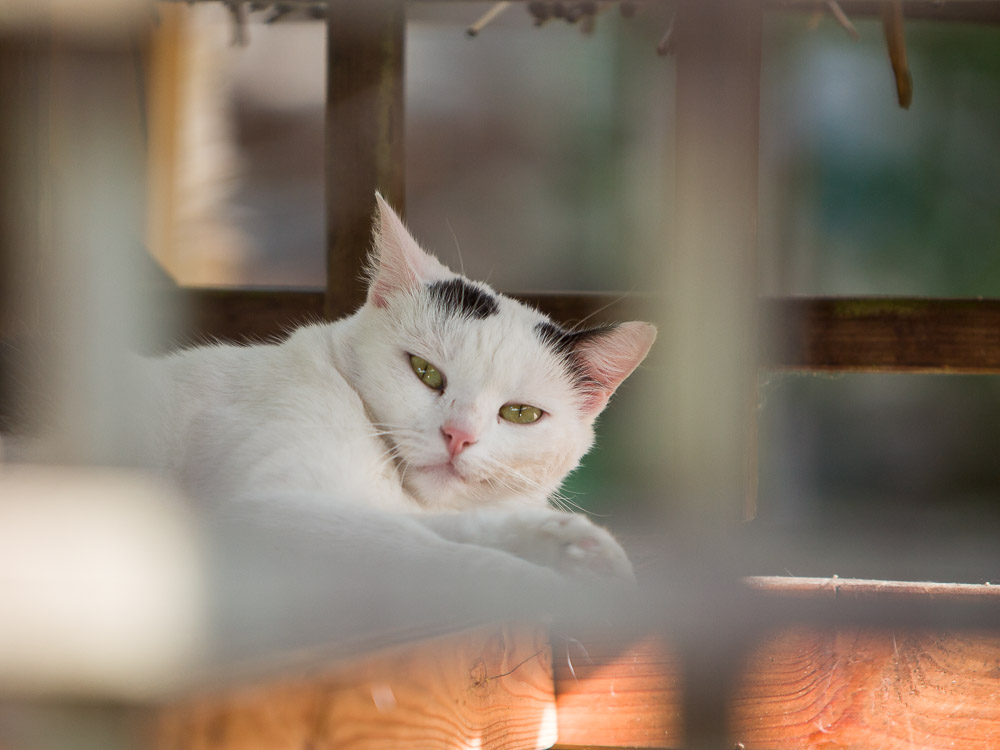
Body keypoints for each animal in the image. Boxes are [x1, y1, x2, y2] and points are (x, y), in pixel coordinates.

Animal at [141, 194, 656, 656]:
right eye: (425, 372)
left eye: (521, 414)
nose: (458, 436)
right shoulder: (266, 508)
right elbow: (427, 553)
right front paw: (544, 582)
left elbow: (452, 525)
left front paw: (575, 547)